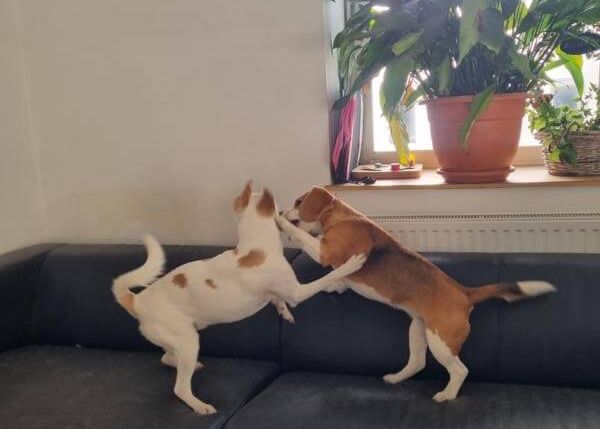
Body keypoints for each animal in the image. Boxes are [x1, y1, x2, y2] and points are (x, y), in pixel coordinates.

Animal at [113, 182, 366, 414]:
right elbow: (326, 278)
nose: (284, 211)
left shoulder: (277, 293)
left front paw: (283, 311)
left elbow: (277, 299)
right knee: (180, 388)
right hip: (187, 341)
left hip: (178, 341)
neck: (254, 246)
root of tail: (137, 300)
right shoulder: (297, 292)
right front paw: (351, 265)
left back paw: (193, 366)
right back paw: (199, 405)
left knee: (167, 359)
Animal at [277, 186, 556, 402]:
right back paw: (396, 378)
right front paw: (333, 285)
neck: (342, 217)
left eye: (298, 202)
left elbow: (301, 236)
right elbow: (338, 279)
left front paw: (280, 223)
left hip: (440, 341)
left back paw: (447, 394)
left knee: (460, 370)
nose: (281, 212)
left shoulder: (324, 252)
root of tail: (464, 292)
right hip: (418, 329)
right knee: (418, 363)